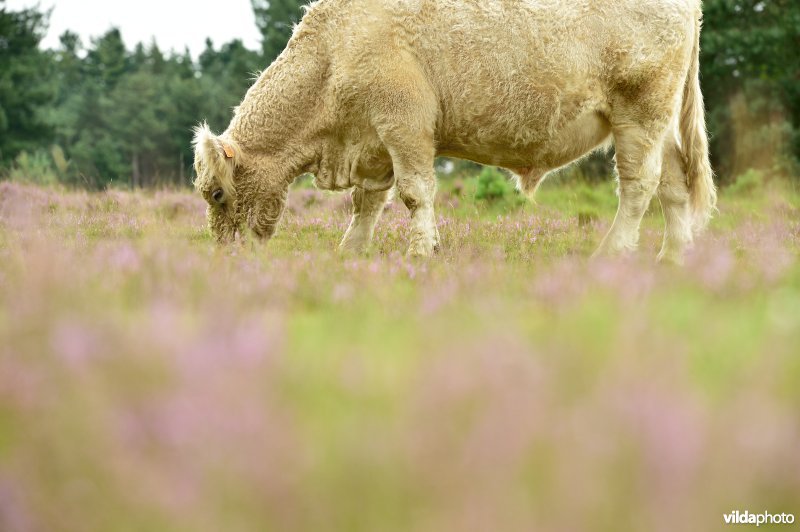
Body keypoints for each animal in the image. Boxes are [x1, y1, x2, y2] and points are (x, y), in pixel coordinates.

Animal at [192, 0, 712, 262]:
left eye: (217, 194)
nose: (224, 257)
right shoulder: (373, 140)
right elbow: (367, 203)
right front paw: (352, 251)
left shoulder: (404, 123)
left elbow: (414, 193)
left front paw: (423, 251)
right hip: (660, 124)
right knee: (673, 183)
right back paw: (674, 256)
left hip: (640, 112)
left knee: (639, 186)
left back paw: (614, 251)